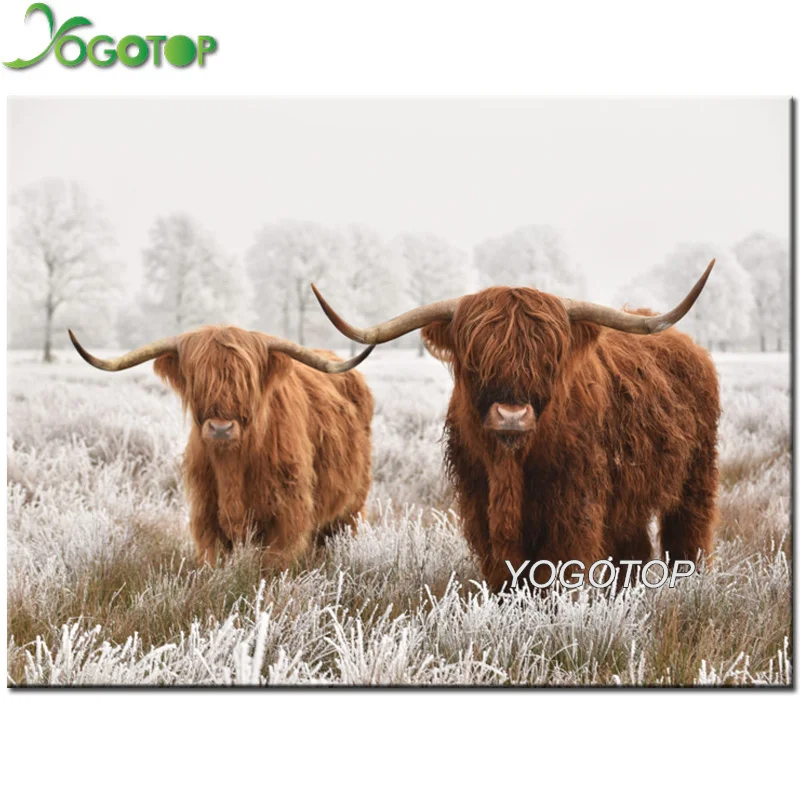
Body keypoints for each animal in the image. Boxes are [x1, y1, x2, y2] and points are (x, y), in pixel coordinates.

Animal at [69, 325, 375, 571]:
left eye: (246, 381)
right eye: (197, 379)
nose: (220, 428)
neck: (232, 465)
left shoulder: (287, 517)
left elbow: (272, 568)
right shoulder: (206, 516)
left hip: (350, 508)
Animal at [311, 261, 720, 591]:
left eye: (548, 359)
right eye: (474, 358)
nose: (511, 415)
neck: (510, 465)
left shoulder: (575, 508)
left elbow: (557, 573)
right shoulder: (480, 505)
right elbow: (505, 574)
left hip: (696, 478)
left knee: (688, 537)